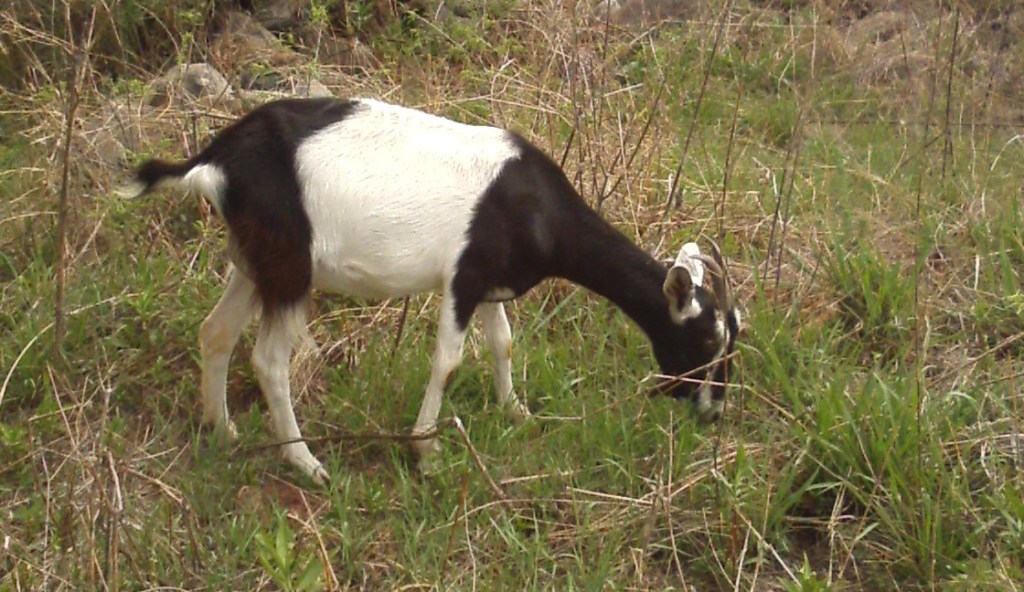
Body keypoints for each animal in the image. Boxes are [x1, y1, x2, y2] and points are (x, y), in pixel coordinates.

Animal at [121, 97, 741, 484]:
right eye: (707, 342)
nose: (714, 412)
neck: (536, 210)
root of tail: (216, 160)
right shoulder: (462, 277)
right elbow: (448, 360)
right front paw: (426, 448)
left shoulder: (490, 284)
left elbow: (503, 344)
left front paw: (515, 412)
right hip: (291, 267)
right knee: (269, 360)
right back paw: (305, 463)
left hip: (256, 263)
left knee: (216, 332)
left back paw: (222, 429)